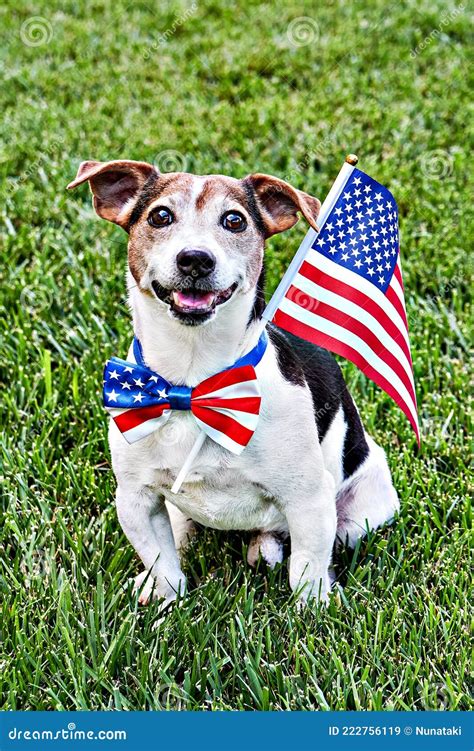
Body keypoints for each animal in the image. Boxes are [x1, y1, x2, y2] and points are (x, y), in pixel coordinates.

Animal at [67, 160, 400, 612]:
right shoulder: (136, 499)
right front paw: (165, 599)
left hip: (359, 511)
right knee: (181, 529)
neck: (194, 385)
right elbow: (162, 562)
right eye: (160, 216)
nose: (195, 259)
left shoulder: (309, 499)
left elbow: (307, 568)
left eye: (234, 221)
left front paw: (311, 613)